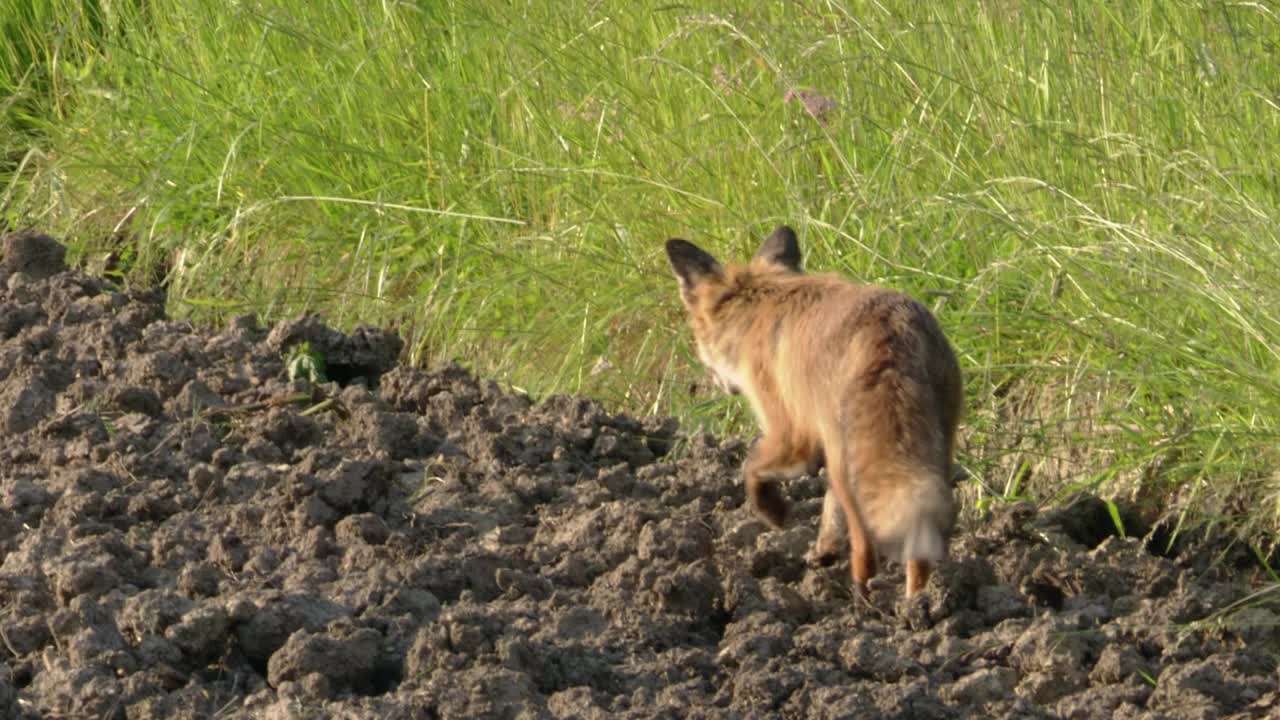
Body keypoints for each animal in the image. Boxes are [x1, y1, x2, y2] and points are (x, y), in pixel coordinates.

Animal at [670, 225, 962, 594]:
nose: (716, 382)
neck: (758, 308)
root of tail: (893, 327)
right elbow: (828, 509)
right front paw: (823, 550)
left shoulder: (790, 432)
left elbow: (751, 467)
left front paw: (774, 512)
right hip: (933, 448)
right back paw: (917, 600)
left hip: (844, 460)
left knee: (865, 545)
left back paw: (862, 596)